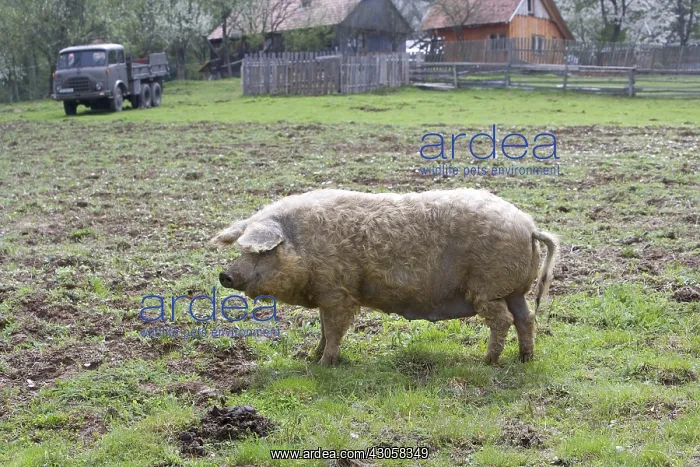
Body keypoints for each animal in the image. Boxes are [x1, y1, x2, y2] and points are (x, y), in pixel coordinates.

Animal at [211, 188, 558, 366]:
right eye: (241, 248)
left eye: (261, 251)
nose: (225, 275)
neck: (304, 247)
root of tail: (529, 226)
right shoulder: (327, 294)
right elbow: (323, 329)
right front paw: (311, 357)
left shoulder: (338, 293)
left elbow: (334, 330)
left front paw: (323, 365)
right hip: (513, 289)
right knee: (526, 318)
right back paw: (525, 358)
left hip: (488, 287)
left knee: (503, 320)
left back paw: (487, 361)